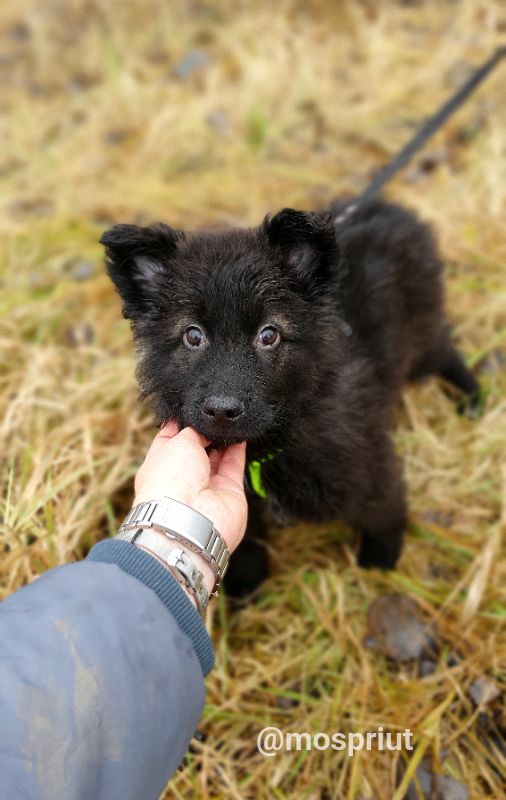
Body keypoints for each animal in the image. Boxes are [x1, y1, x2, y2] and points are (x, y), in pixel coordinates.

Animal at [102, 202, 478, 592]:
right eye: (193, 335)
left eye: (269, 335)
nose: (222, 410)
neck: (269, 448)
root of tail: (388, 207)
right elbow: (245, 543)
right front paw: (246, 586)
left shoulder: (366, 463)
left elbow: (384, 508)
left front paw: (379, 561)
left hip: (421, 335)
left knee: (445, 350)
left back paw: (471, 396)